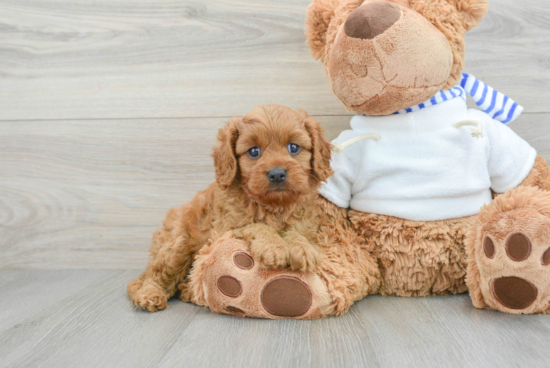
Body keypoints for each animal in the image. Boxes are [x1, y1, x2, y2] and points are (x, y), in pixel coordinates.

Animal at [128, 105, 334, 312]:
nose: (277, 174)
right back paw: (150, 294)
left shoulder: (305, 224)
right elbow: (255, 226)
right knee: (154, 275)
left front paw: (303, 248)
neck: (273, 206)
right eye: (253, 151)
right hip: (178, 244)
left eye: (293, 147)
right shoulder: (226, 229)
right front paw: (273, 246)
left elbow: (296, 232)